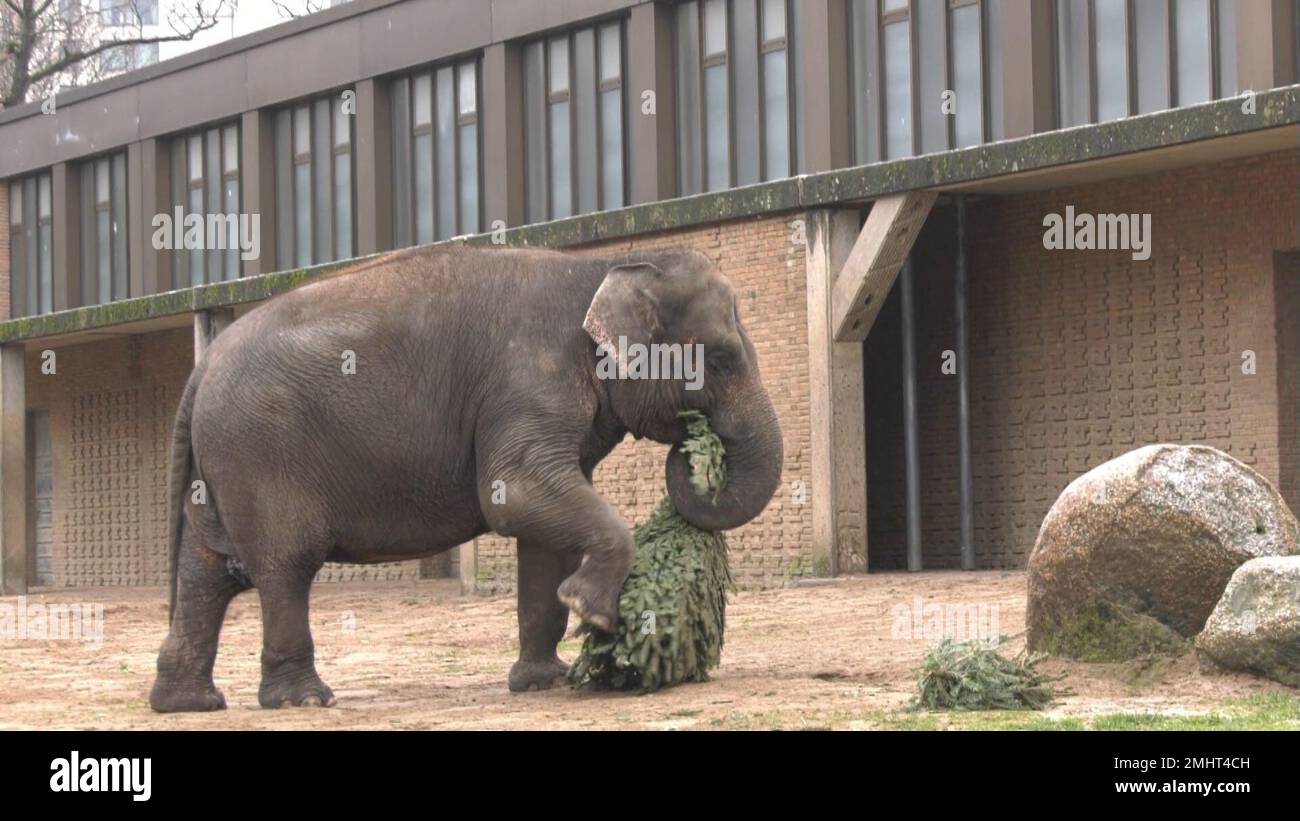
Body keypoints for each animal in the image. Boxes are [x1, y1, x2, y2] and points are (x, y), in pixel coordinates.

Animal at [148, 244, 783, 712]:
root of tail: (201, 367)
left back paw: (189, 704)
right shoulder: (528, 380)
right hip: (260, 452)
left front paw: (545, 679)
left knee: (206, 572)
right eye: (721, 359)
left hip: (224, 461)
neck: (607, 264)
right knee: (284, 565)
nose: (692, 448)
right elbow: (514, 494)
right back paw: (302, 701)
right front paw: (594, 615)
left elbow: (541, 530)